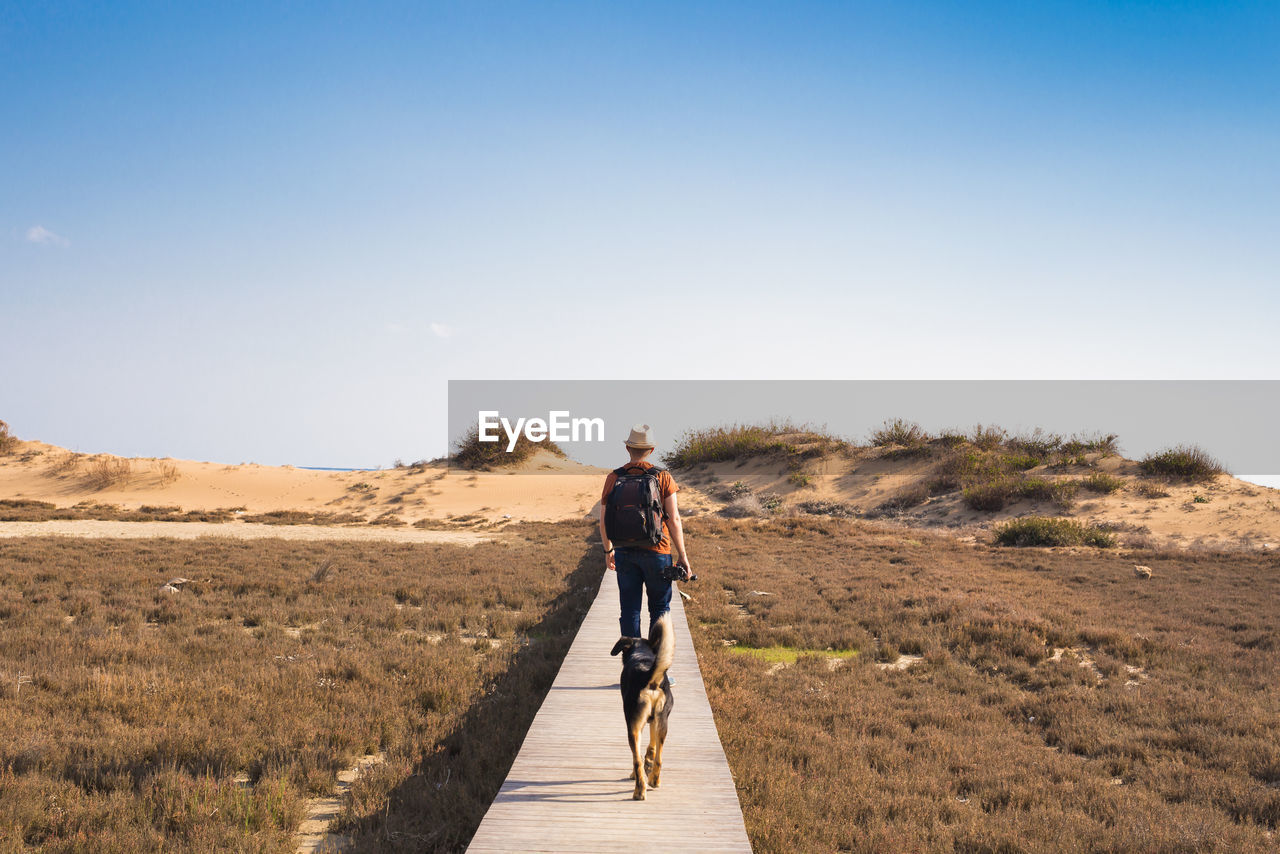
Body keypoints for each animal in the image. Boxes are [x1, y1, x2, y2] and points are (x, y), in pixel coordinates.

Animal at [611, 614, 675, 804]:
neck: (641, 654)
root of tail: (650, 678)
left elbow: (638, 757)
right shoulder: (654, 721)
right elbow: (651, 748)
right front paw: (649, 761)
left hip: (632, 728)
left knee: (636, 761)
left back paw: (639, 791)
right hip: (662, 723)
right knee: (659, 758)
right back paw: (654, 780)